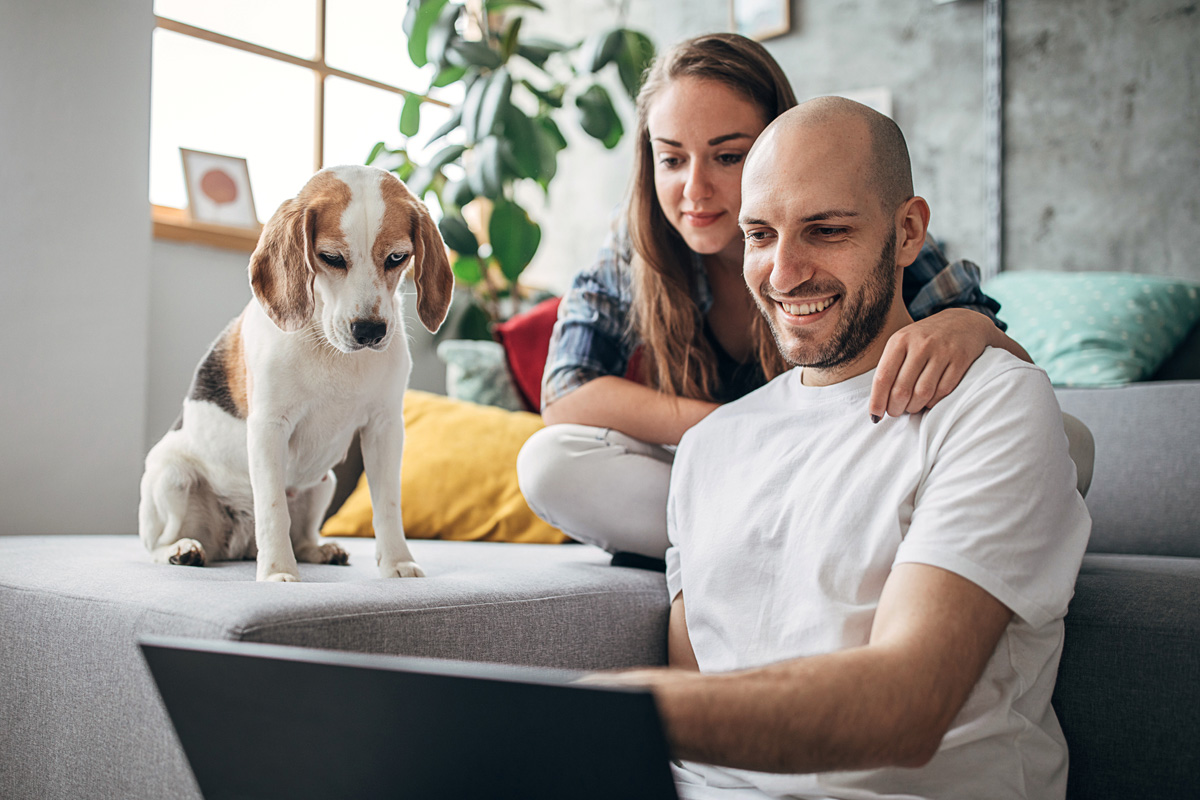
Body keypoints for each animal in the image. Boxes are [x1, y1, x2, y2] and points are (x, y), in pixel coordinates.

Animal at [137, 167, 453, 582]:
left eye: (398, 257)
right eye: (331, 257)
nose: (369, 331)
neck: (330, 348)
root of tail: (235, 544)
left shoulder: (385, 428)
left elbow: (387, 505)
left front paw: (397, 562)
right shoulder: (269, 427)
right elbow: (273, 509)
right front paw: (276, 573)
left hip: (323, 483)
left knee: (302, 538)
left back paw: (321, 550)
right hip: (171, 476)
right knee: (157, 545)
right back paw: (182, 550)